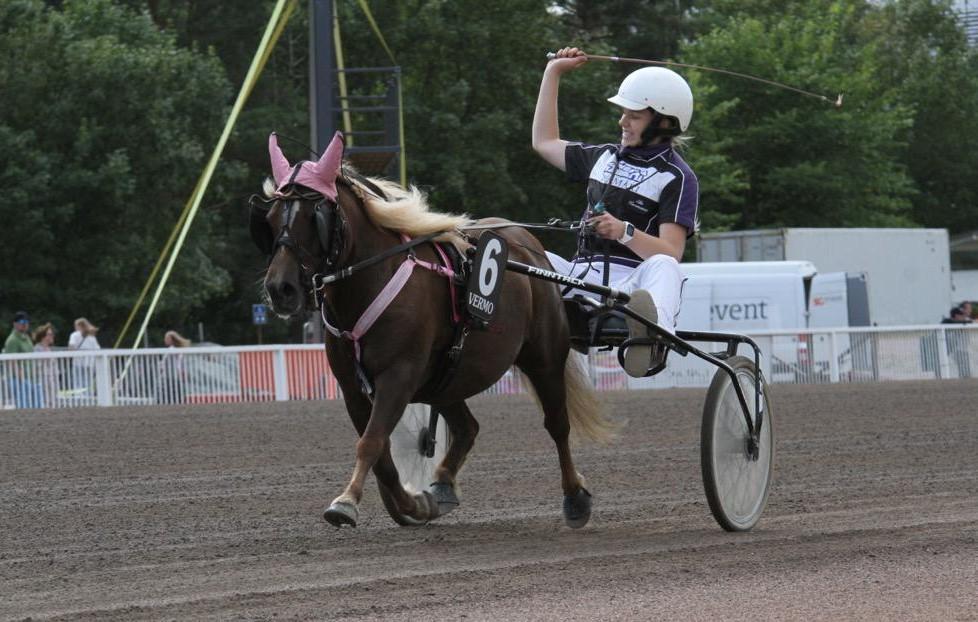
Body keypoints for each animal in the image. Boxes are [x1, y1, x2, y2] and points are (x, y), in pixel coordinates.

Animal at [252, 133, 608, 532]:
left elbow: (371, 442)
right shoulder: (352, 387)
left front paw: (346, 502)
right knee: (468, 428)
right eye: (269, 219)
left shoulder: (399, 374)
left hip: (543, 357)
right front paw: (414, 504)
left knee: (557, 424)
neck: (370, 282)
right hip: (449, 376)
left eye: (316, 218)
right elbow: (381, 452)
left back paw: (575, 497)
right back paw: (443, 485)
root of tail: (528, 246)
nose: (281, 289)